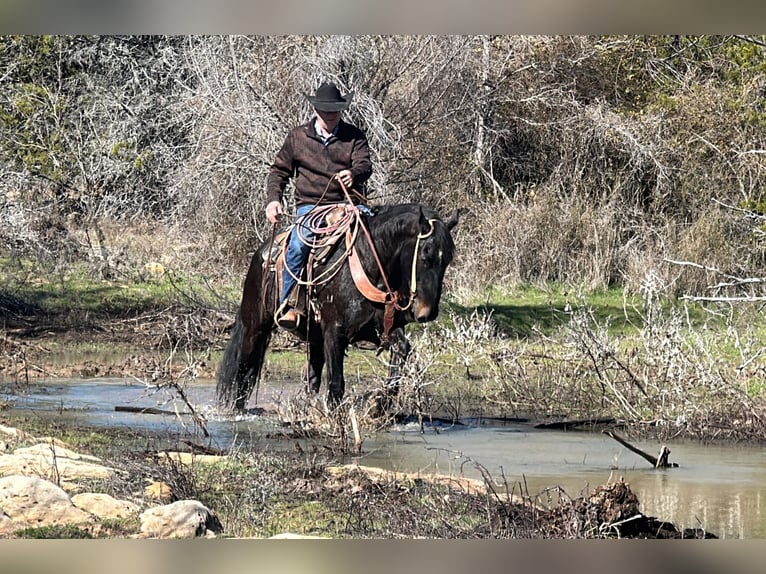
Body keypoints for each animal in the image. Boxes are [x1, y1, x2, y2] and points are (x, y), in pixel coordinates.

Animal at [213, 202, 460, 414]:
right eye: (426, 256)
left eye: (447, 259)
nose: (428, 313)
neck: (370, 264)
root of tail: (261, 253)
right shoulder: (334, 332)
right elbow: (336, 384)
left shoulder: (378, 330)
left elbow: (400, 356)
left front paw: (379, 405)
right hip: (255, 327)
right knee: (243, 369)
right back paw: (235, 410)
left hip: (314, 338)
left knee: (311, 377)